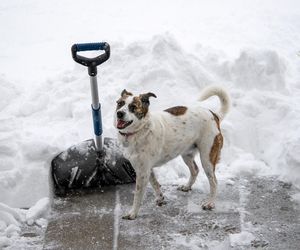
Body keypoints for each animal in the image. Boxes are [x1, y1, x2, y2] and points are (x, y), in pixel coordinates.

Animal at [114, 85, 230, 219]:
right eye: (120, 103)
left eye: (133, 107)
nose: (119, 113)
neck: (140, 130)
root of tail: (214, 115)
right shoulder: (146, 169)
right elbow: (155, 183)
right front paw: (160, 198)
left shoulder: (142, 172)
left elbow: (138, 195)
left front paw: (132, 213)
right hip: (187, 154)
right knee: (195, 170)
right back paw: (187, 187)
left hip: (207, 158)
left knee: (214, 182)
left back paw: (210, 203)